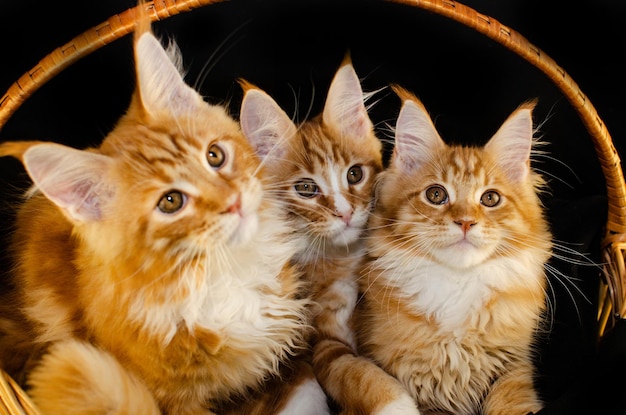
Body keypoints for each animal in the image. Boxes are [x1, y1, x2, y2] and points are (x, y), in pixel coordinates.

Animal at [0, 11, 326, 414]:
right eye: (170, 201)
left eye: (214, 155)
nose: (234, 200)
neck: (220, 272)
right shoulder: (176, 400)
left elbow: (306, 383)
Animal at [239, 57, 414, 414]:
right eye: (306, 189)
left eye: (355, 174)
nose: (345, 213)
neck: (341, 260)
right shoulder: (322, 343)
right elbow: (360, 374)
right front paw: (399, 406)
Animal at [352, 86, 552, 414]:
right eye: (436, 194)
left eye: (490, 198)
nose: (466, 222)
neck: (457, 284)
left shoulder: (514, 367)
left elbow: (509, 402)